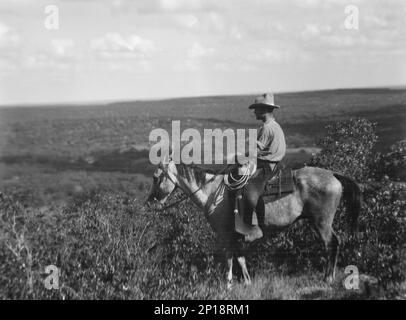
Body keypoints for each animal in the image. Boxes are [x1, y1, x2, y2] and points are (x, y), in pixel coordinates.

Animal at [146, 156, 362, 288]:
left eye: (156, 178)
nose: (150, 203)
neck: (212, 193)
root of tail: (333, 175)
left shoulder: (225, 234)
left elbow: (229, 258)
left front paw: (228, 285)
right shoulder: (235, 235)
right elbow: (240, 258)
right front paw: (247, 282)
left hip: (322, 222)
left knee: (332, 244)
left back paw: (328, 277)